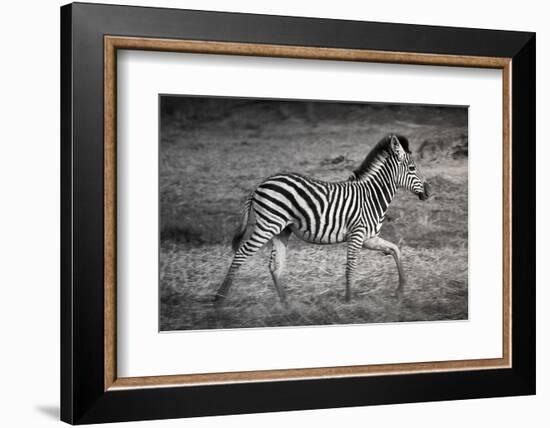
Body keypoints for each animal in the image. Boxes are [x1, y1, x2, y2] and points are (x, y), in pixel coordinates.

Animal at [215, 134, 432, 304]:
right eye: (412, 168)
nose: (429, 192)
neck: (372, 196)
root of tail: (259, 185)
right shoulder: (357, 235)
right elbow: (350, 267)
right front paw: (349, 301)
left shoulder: (369, 238)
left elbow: (396, 250)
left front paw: (401, 289)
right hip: (268, 225)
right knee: (242, 253)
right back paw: (219, 299)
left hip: (281, 230)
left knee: (275, 266)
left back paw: (286, 304)